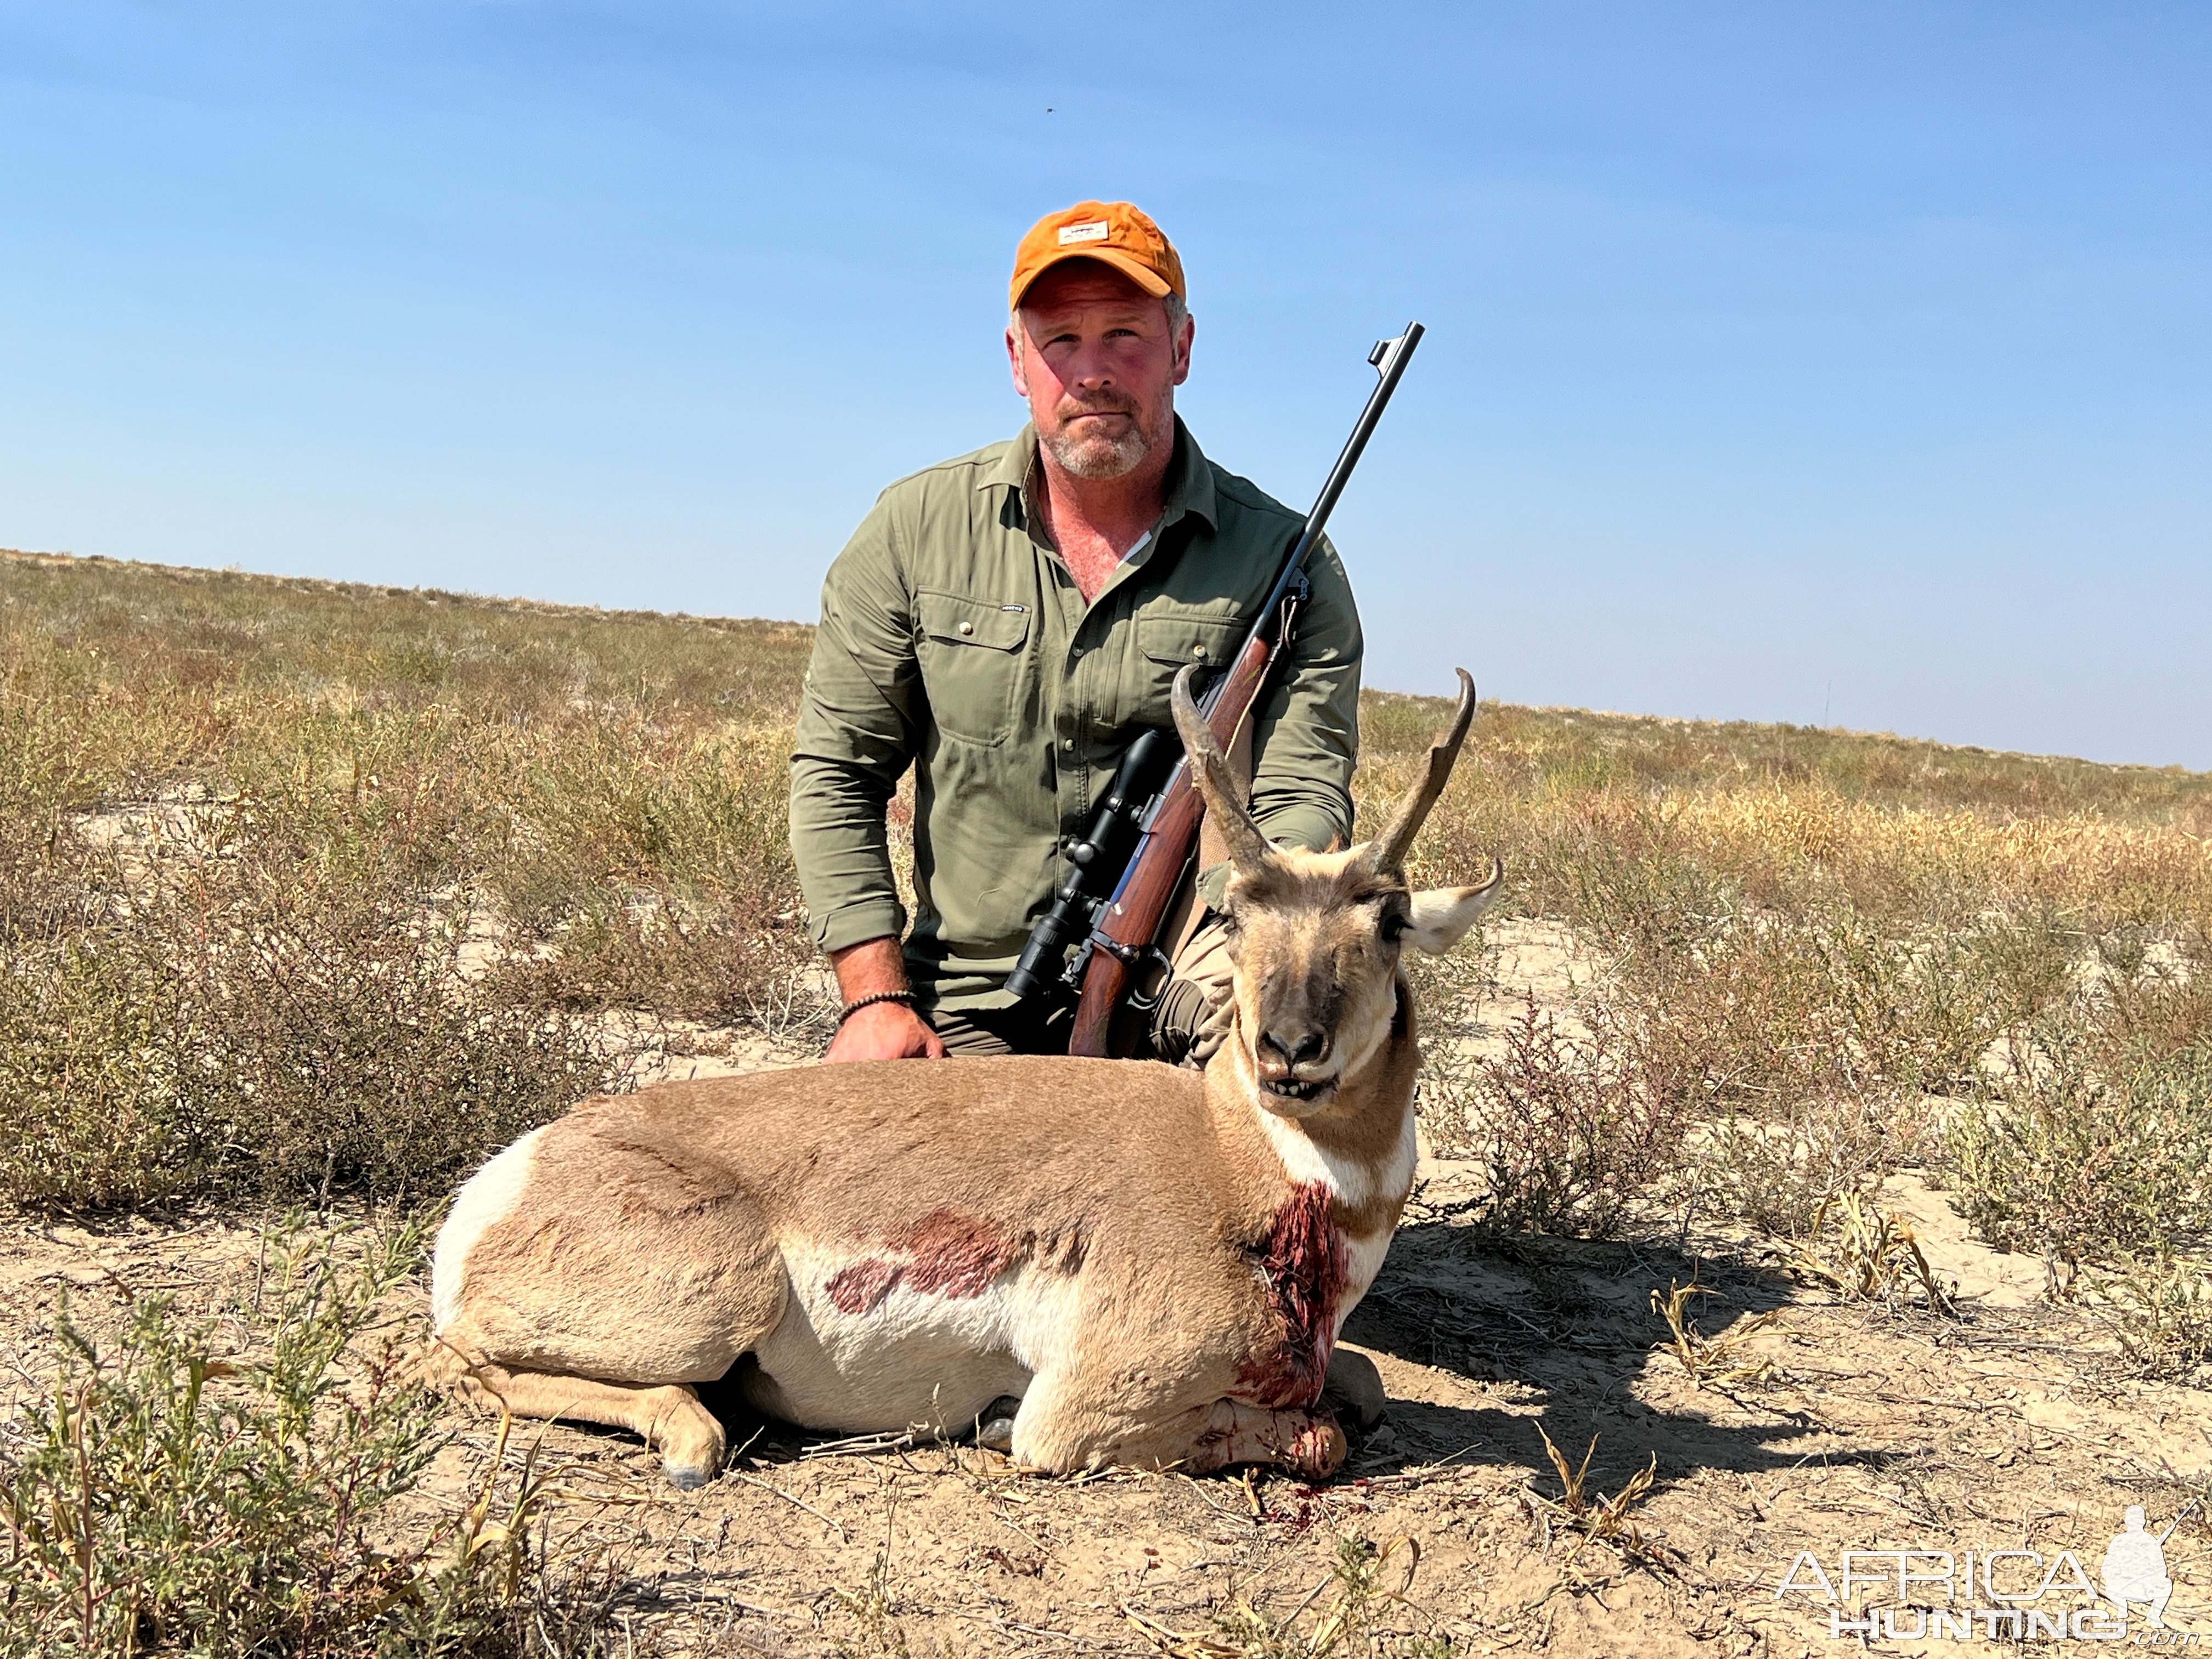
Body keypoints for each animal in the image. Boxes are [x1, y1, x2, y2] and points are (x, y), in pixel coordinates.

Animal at [427, 668, 1504, 1486]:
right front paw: (989, 1422)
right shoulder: (1083, 1416)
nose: (1287, 1048)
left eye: (1389, 920)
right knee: (460, 1358)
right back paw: (692, 1439)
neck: (1226, 1158)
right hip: (721, 1297)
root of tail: (518, 1166)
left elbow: (1363, 1385)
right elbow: (1319, 1436)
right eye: (1234, 915)